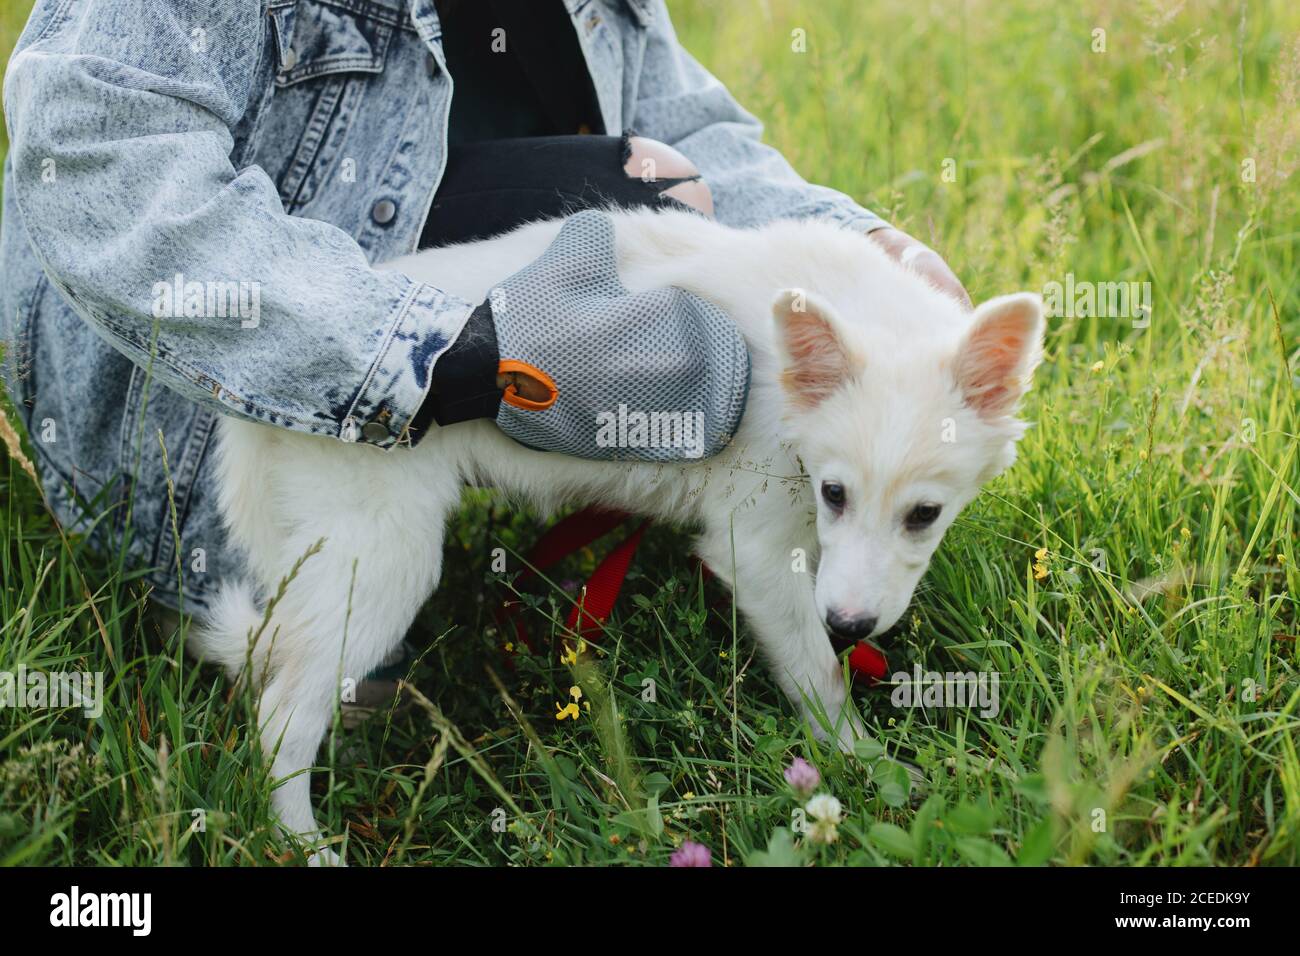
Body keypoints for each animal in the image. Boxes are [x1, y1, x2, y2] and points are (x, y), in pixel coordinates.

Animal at [193, 206, 1044, 860]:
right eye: (835, 493)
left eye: (923, 515)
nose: (852, 623)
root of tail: (251, 407)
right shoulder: (756, 549)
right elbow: (818, 677)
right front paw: (860, 766)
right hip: (379, 566)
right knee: (280, 719)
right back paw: (302, 844)